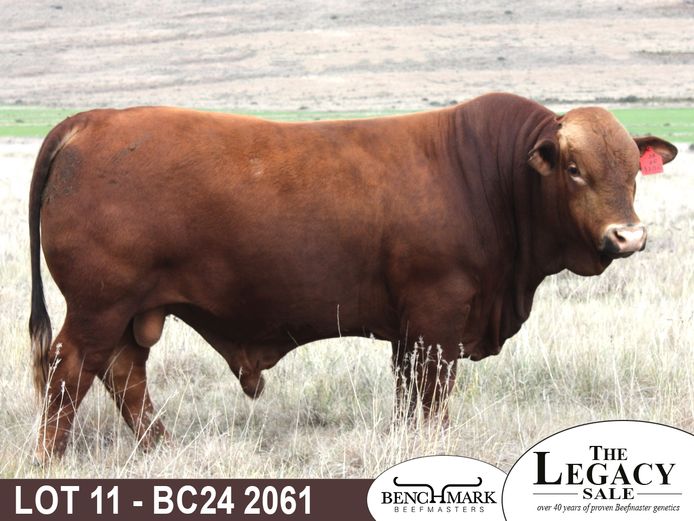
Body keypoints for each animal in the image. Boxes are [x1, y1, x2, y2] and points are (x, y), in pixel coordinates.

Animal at [29, 93, 677, 462]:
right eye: (574, 169)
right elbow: (433, 395)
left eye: (632, 171)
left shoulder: (410, 331)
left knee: (123, 375)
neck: (489, 176)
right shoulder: (438, 316)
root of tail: (93, 121)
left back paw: (160, 449)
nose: (628, 237)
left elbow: (409, 394)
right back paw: (51, 459)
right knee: (70, 372)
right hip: (99, 306)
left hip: (131, 311)